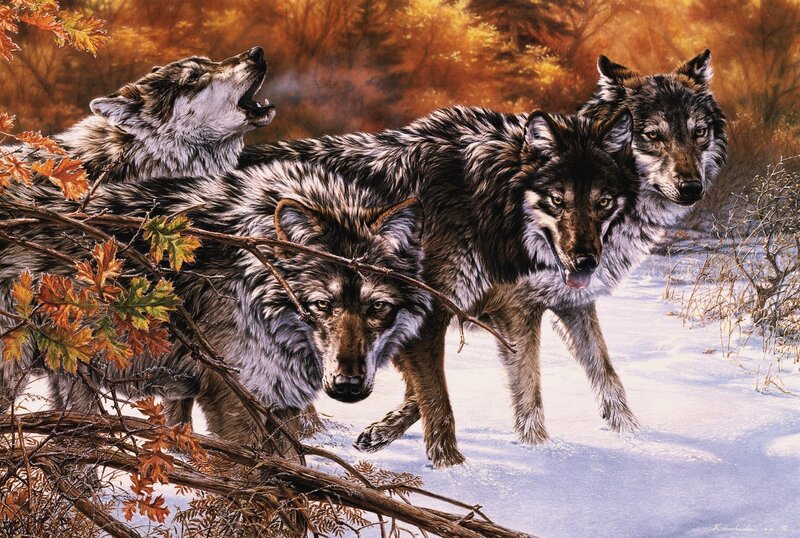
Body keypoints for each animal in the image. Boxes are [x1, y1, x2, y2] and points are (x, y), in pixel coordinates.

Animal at [239, 105, 637, 466]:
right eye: (558, 200)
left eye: (603, 202)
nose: (586, 262)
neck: (483, 201)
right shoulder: (434, 315)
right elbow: (440, 398)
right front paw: (453, 467)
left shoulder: (546, 306)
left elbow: (605, 373)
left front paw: (629, 434)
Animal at [353, 50, 729, 449]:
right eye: (653, 135)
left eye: (699, 132)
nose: (692, 188)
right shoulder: (511, 310)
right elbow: (525, 390)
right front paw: (538, 449)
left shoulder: (572, 303)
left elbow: (606, 376)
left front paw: (631, 437)